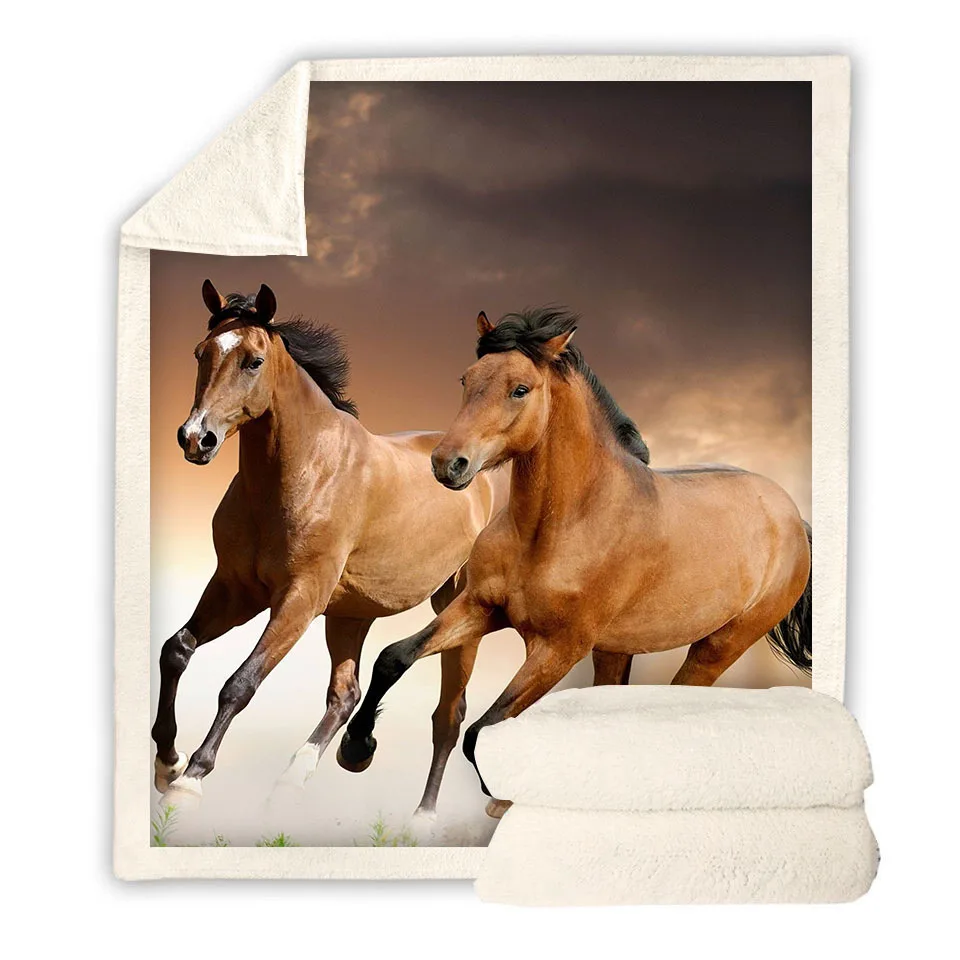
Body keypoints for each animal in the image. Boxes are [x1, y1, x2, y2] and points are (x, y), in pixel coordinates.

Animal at [152, 280, 497, 819]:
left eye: (253, 360)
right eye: (200, 353)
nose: (195, 438)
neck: (305, 472)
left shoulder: (298, 599)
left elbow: (240, 683)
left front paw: (191, 779)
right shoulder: (235, 589)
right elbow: (177, 650)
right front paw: (167, 762)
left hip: (456, 610)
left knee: (448, 716)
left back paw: (422, 817)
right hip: (350, 614)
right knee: (346, 694)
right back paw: (301, 776)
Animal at [338, 306, 812, 813]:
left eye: (520, 389)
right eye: (466, 379)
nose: (448, 463)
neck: (557, 527)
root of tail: (793, 517)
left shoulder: (558, 648)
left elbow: (481, 732)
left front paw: (497, 795)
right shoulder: (481, 607)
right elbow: (393, 658)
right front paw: (356, 749)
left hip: (717, 647)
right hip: (614, 651)